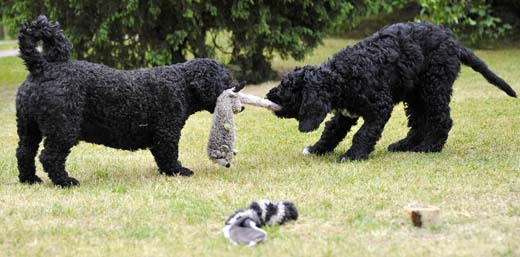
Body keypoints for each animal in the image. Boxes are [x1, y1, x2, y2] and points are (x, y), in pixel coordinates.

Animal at [14, 15, 238, 186]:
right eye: (225, 79)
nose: (238, 89)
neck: (181, 83)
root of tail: (42, 67)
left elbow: (162, 157)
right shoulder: (167, 132)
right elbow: (169, 156)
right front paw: (178, 171)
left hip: (28, 129)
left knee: (24, 153)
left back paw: (30, 180)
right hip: (62, 130)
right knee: (50, 157)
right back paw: (65, 181)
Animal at [268, 23, 516, 161]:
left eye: (287, 88)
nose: (268, 96)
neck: (342, 76)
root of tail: (453, 41)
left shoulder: (380, 107)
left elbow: (364, 133)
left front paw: (353, 155)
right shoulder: (345, 113)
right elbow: (331, 130)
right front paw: (317, 149)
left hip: (434, 88)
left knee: (441, 119)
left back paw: (429, 147)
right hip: (415, 94)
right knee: (419, 122)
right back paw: (404, 145)